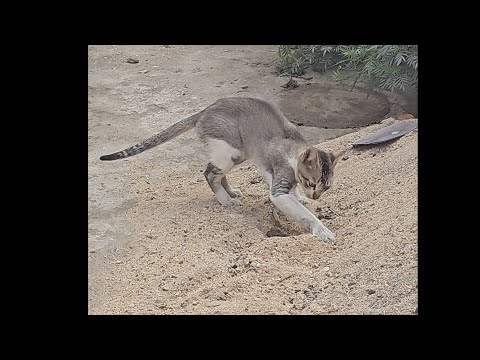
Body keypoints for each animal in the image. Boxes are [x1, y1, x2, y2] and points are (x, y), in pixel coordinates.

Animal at [100, 97, 344, 242]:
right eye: (311, 182)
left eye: (326, 187)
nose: (315, 196)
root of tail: (204, 111)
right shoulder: (278, 189)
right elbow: (304, 214)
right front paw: (321, 230)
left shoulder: (277, 177)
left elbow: (292, 194)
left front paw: (301, 197)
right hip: (230, 152)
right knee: (209, 173)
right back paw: (226, 201)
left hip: (236, 154)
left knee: (217, 174)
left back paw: (232, 193)